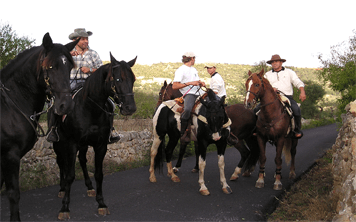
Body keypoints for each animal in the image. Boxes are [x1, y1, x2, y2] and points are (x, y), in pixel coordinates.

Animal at [0, 32, 77, 220]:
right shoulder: (9, 155)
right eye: (50, 66)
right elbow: (13, 194)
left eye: (69, 67)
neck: (9, 105)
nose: (66, 105)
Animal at [53, 53, 137, 220]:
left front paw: (101, 203)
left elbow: (98, 174)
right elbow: (70, 175)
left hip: (84, 145)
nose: (130, 108)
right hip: (59, 144)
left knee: (82, 160)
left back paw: (89, 187)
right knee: (61, 162)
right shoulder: (72, 144)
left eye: (133, 79)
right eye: (118, 79)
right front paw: (64, 207)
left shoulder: (100, 145)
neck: (89, 109)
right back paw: (62, 189)